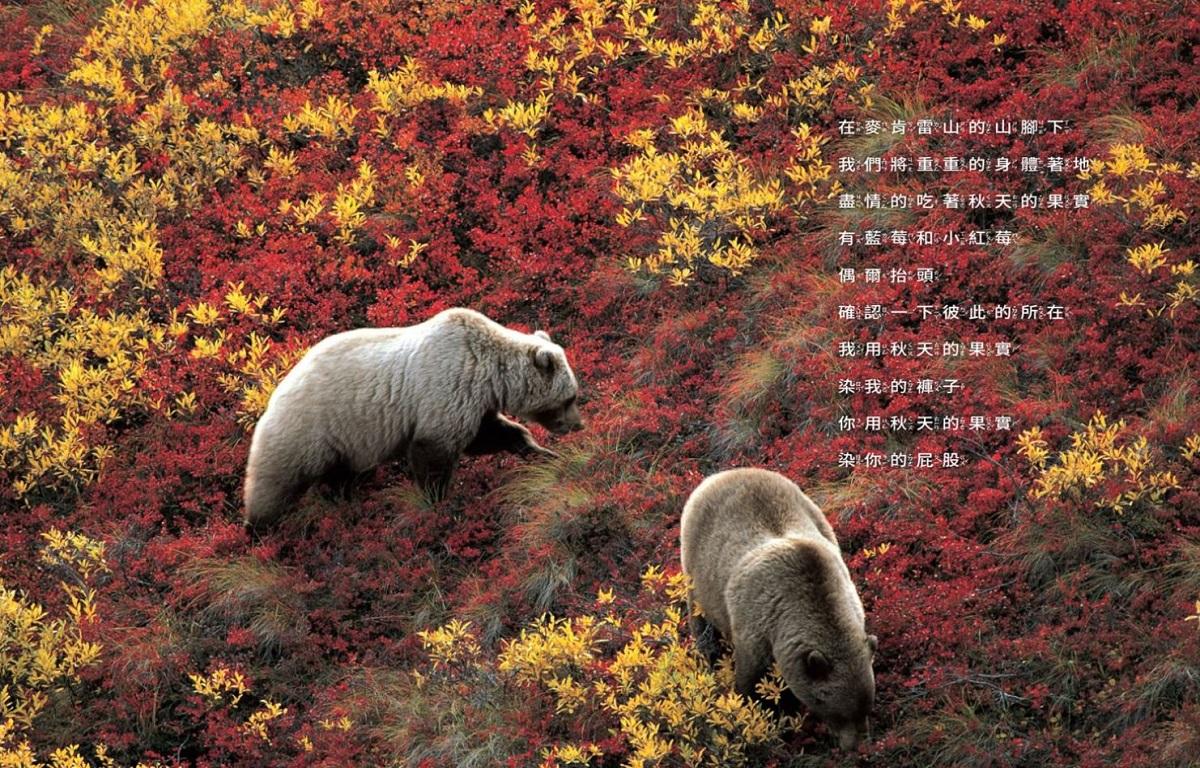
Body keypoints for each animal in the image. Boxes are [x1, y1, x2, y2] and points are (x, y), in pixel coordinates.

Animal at [242, 307, 583, 529]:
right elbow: (433, 450)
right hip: (307, 430)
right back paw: (259, 527)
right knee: (276, 482)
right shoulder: (446, 389)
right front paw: (439, 502)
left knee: (338, 477)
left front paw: (539, 451)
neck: (489, 374)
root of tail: (271, 394)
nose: (578, 425)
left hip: (341, 445)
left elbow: (489, 434)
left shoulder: (472, 402)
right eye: (570, 397)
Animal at [679, 468, 877, 750]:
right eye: (838, 711)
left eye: (866, 707)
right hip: (697, 568)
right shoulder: (756, 625)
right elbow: (751, 677)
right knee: (701, 619)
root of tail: (723, 473)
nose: (856, 745)